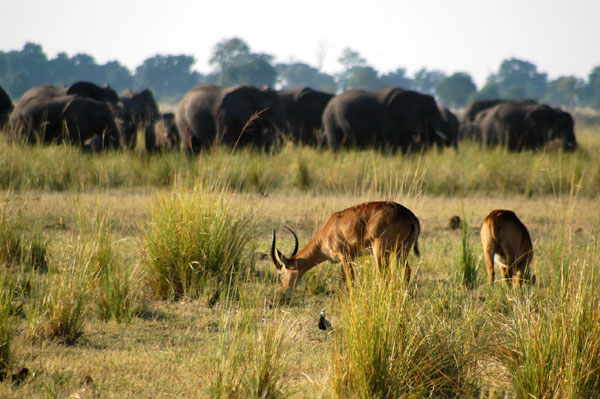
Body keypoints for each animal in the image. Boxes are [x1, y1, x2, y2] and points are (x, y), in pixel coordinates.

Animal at [270, 200, 420, 296]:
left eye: (281, 274)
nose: (283, 293)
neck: (328, 231)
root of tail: (410, 216)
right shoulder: (346, 259)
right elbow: (342, 280)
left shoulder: (345, 255)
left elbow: (349, 278)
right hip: (401, 251)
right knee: (406, 271)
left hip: (381, 252)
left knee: (385, 275)